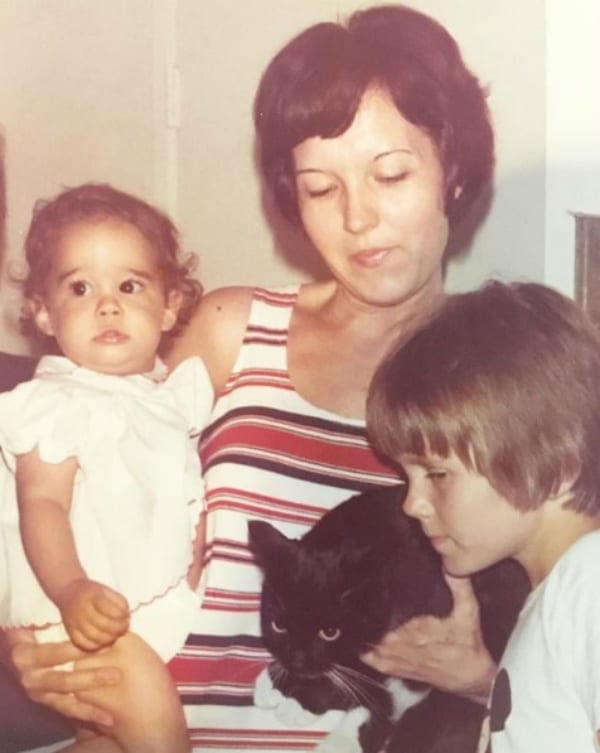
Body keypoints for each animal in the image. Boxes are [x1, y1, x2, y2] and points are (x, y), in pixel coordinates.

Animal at [248, 484, 528, 752]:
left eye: (330, 632)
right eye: (279, 626)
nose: (297, 662)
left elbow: (360, 674)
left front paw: (301, 700)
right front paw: (276, 681)